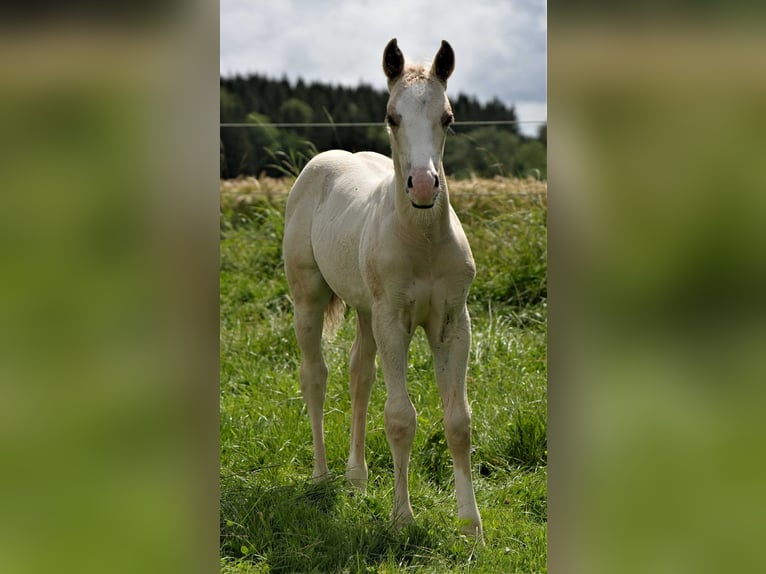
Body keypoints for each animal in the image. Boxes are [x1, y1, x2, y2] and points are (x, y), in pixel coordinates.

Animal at [282, 37, 486, 540]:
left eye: (448, 117)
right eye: (393, 116)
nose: (424, 186)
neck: (422, 241)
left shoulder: (453, 322)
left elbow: (458, 421)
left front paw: (471, 526)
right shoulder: (395, 321)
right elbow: (400, 418)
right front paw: (402, 518)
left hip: (366, 309)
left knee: (360, 374)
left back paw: (357, 477)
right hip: (309, 298)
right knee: (315, 376)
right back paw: (322, 476)